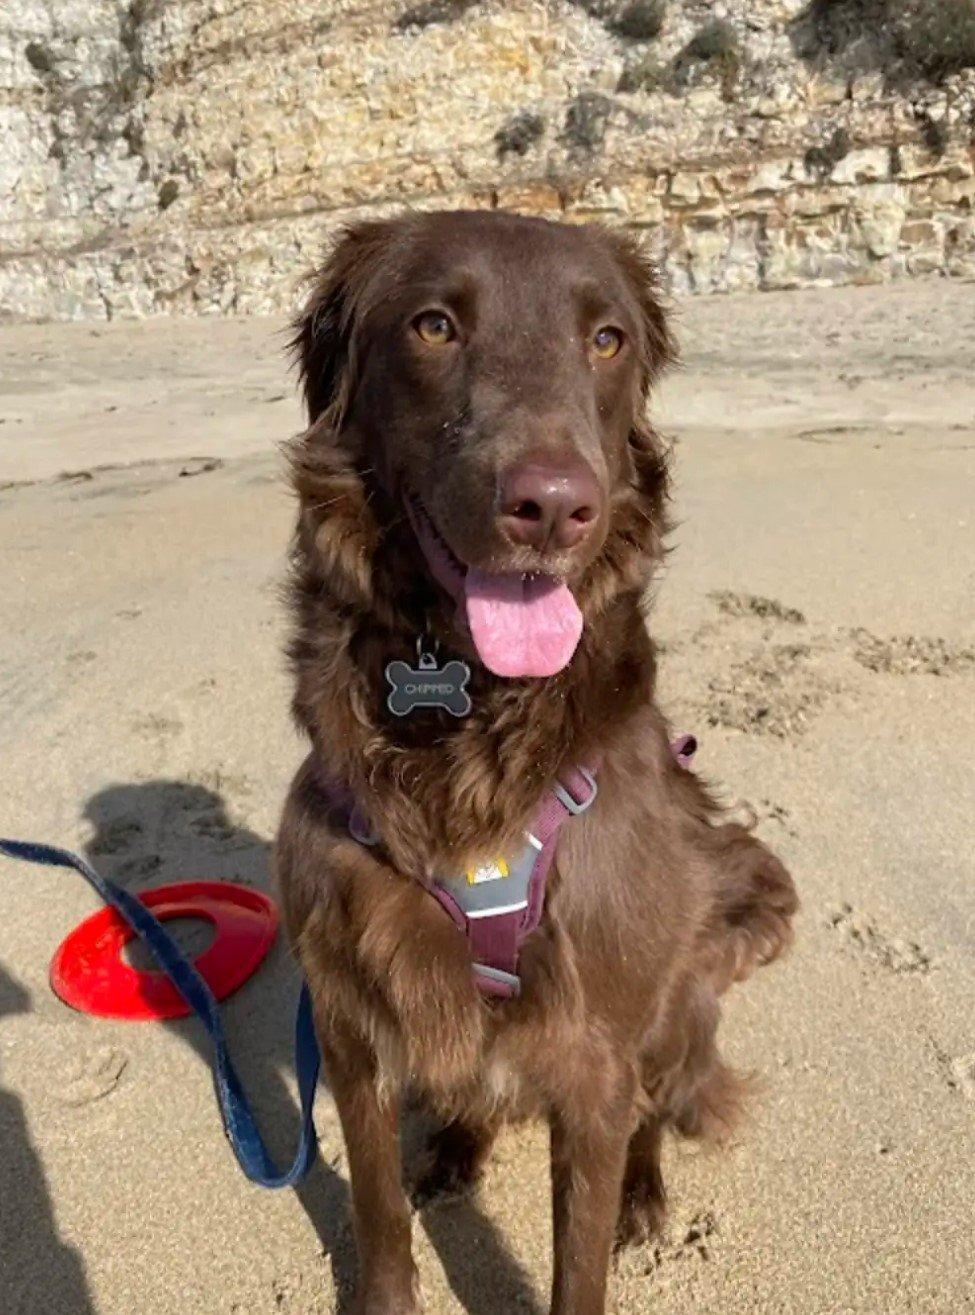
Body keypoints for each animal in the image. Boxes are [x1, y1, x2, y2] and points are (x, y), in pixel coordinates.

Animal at [276, 213, 800, 1315]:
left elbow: (579, 1252)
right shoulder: (348, 1018)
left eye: (606, 340)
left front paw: (616, 1211)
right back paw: (454, 1149)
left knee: (650, 1116)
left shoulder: (594, 1044)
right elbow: (376, 1212)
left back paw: (644, 1196)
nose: (554, 507)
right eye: (433, 324)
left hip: (676, 999)